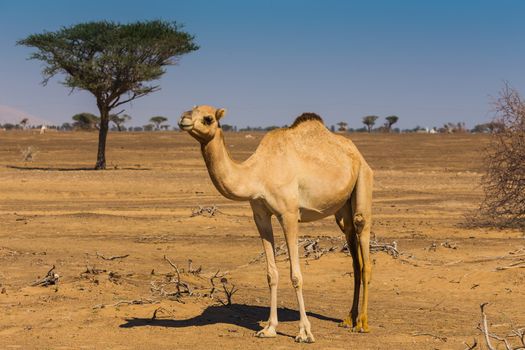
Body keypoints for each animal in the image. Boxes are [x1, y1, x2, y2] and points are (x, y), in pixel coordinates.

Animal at [178, 105, 370, 344]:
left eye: (208, 118)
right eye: (189, 110)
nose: (183, 120)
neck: (257, 174)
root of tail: (356, 153)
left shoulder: (289, 214)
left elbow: (296, 276)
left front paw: (304, 333)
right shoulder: (260, 214)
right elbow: (271, 273)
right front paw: (269, 328)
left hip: (363, 179)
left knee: (364, 243)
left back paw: (362, 324)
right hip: (342, 209)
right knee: (353, 253)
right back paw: (348, 319)